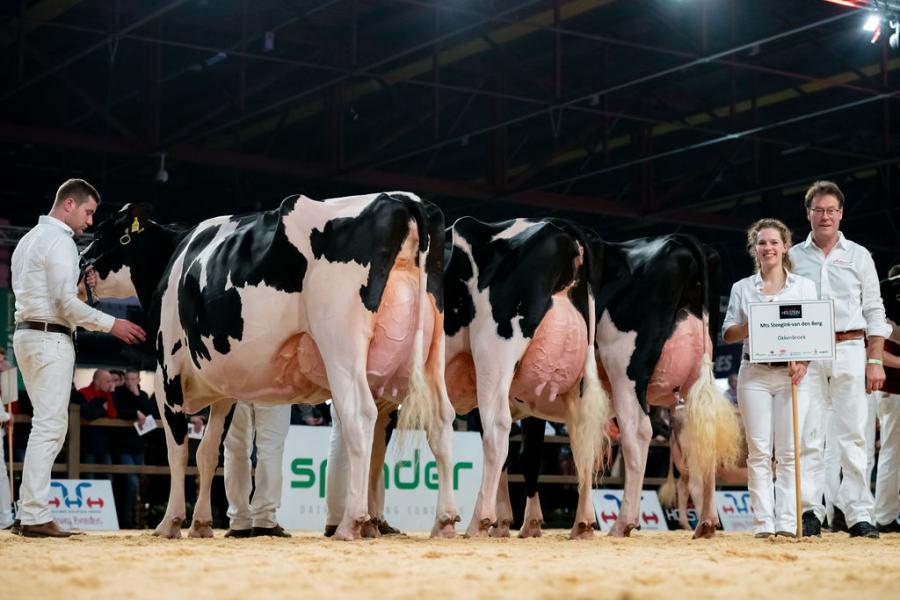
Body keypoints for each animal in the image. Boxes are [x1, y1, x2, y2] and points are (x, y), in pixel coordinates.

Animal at [81, 192, 460, 540]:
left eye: (100, 233)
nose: (80, 262)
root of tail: (403, 199)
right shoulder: (224, 391)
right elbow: (208, 454)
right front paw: (201, 524)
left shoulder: (166, 374)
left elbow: (179, 452)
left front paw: (170, 523)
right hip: (432, 349)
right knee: (441, 419)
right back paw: (443, 521)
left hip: (341, 343)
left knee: (361, 415)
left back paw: (352, 522)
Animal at [440, 216, 608, 540]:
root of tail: (558, 227)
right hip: (576, 380)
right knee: (583, 441)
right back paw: (582, 524)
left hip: (492, 354)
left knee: (497, 430)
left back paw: (478, 521)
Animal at [512, 233, 740, 540]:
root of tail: (676, 240)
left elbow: (522, 455)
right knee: (705, 434)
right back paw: (705, 522)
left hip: (622, 363)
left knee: (638, 433)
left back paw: (623, 522)